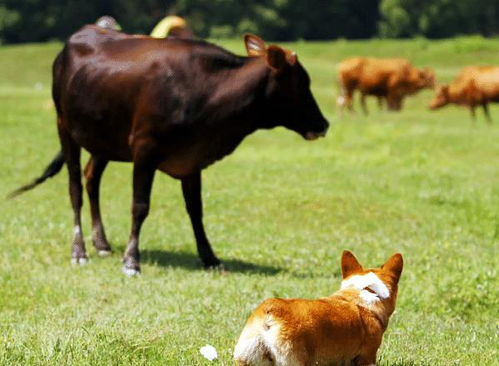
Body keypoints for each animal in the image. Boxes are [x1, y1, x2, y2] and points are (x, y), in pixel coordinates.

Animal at [9, 25, 330, 274]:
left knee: (91, 179)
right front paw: (131, 261)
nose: (324, 124)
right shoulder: (145, 148)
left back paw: (101, 243)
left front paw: (210, 257)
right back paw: (80, 251)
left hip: (103, 140)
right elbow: (140, 205)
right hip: (64, 126)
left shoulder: (192, 158)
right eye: (301, 83)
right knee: (75, 186)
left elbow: (196, 210)